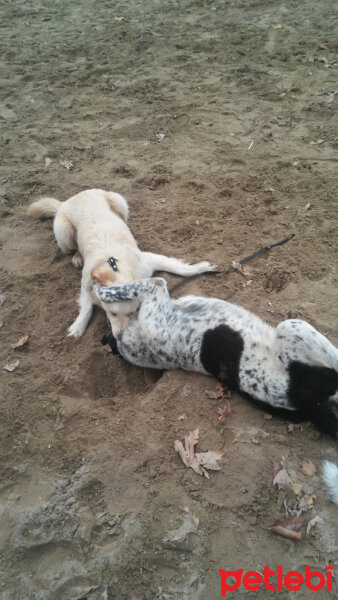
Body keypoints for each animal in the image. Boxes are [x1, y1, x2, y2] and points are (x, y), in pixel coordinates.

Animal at [28, 189, 214, 338]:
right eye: (112, 313)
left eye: (134, 312)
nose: (119, 336)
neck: (115, 265)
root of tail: (71, 198)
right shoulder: (86, 281)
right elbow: (87, 306)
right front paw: (79, 326)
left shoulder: (148, 260)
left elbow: (177, 266)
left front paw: (200, 268)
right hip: (63, 232)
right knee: (71, 248)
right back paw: (77, 257)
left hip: (120, 202)